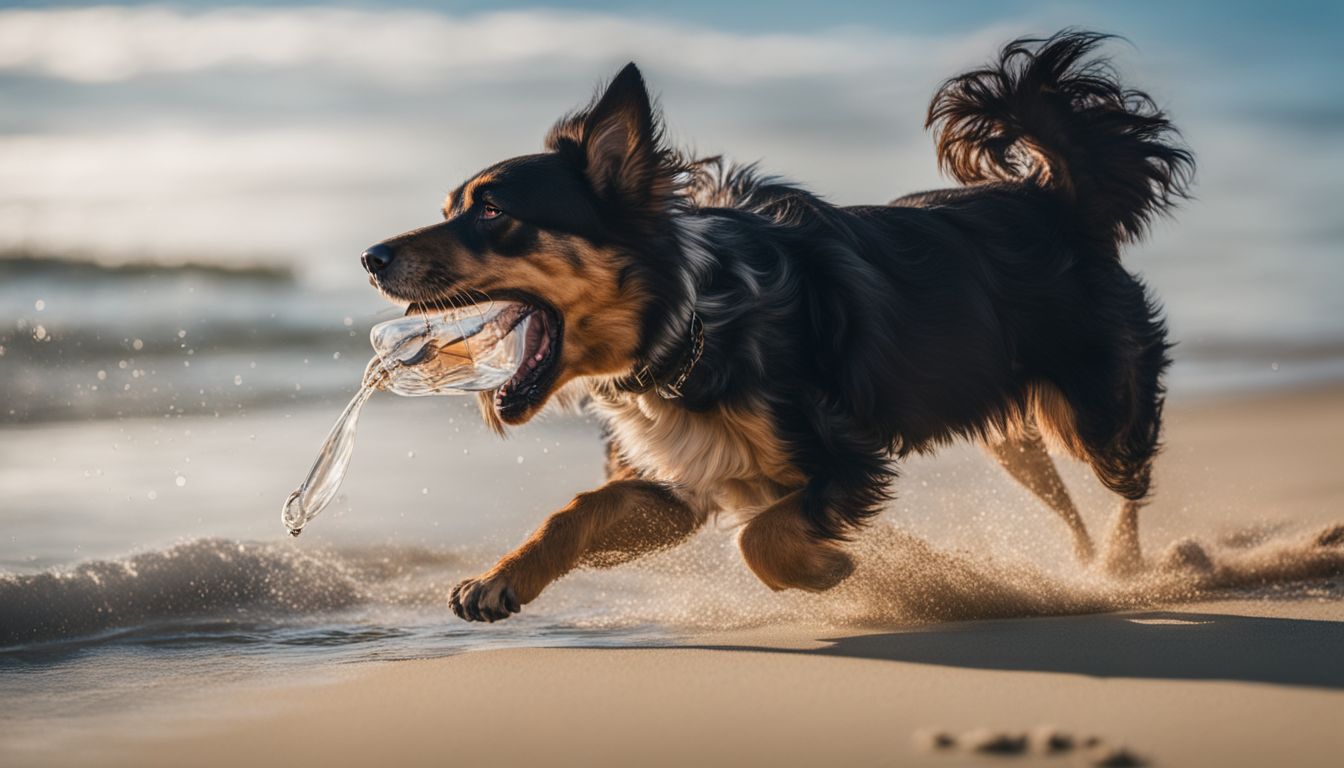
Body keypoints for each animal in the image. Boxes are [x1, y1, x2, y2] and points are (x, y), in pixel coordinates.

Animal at [360, 31, 1198, 624]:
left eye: (493, 211)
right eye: (451, 208)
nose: (370, 257)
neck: (690, 322)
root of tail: (1056, 198)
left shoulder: (843, 458)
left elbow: (758, 539)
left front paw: (839, 570)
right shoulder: (675, 480)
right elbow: (582, 510)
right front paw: (500, 578)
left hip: (1095, 410)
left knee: (1128, 482)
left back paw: (1136, 569)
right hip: (1011, 431)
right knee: (1067, 501)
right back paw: (1090, 569)